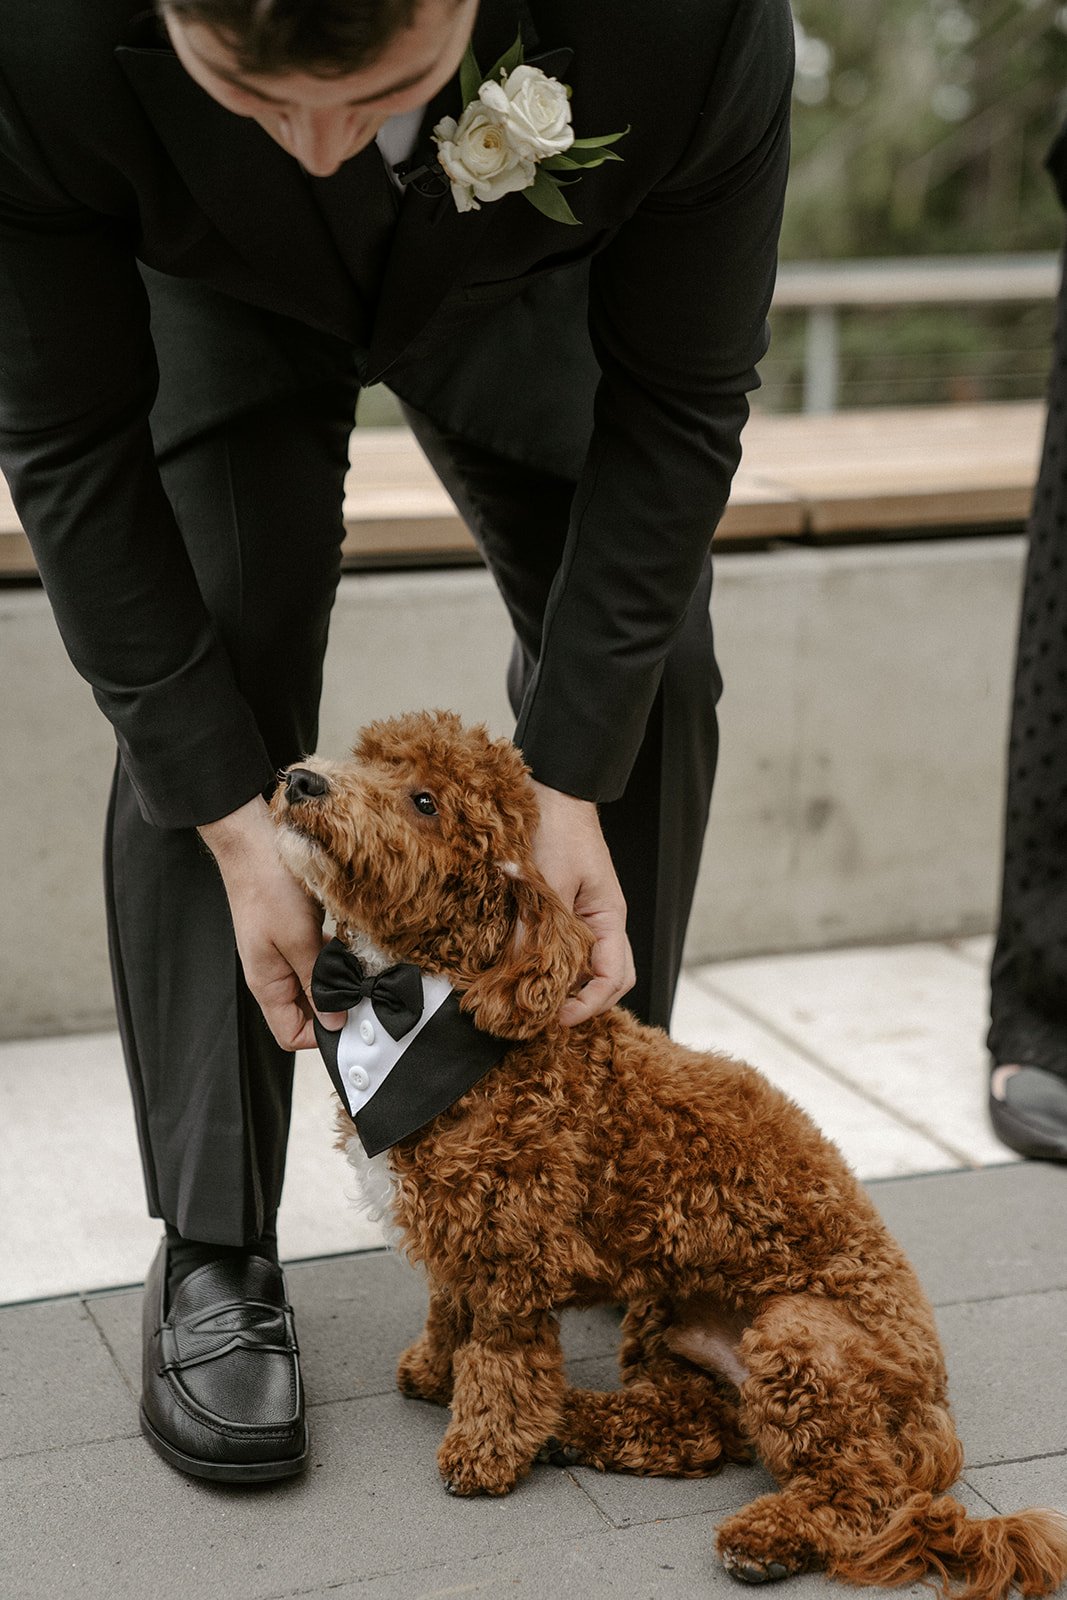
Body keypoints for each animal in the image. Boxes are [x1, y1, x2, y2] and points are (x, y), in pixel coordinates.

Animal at [271, 716, 1067, 1600]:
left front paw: (483, 1449)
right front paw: (434, 1372)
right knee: (694, 1432)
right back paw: (577, 1421)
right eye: (365, 755)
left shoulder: (515, 1251)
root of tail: (935, 1419)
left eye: (424, 802)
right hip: (667, 1315)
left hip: (797, 1334)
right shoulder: (459, 1237)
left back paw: (763, 1536)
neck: (429, 1006)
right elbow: (449, 1311)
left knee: (860, 1491)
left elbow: (502, 1358)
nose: (302, 781)